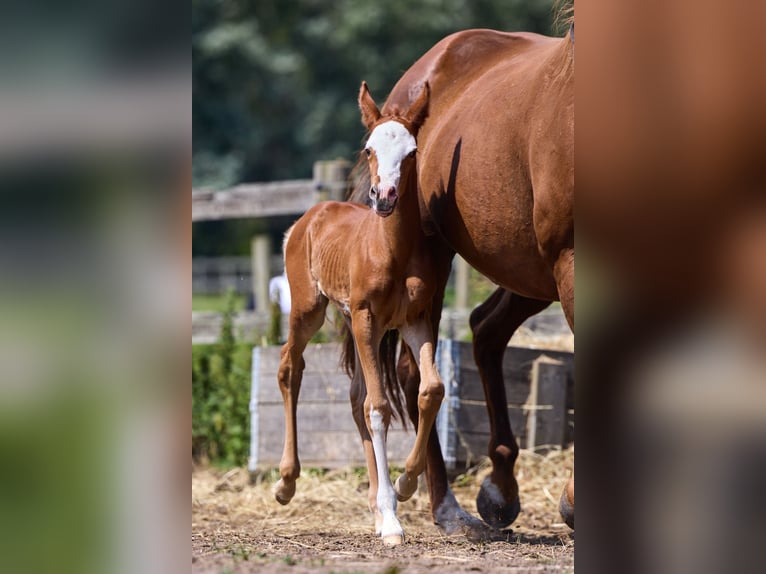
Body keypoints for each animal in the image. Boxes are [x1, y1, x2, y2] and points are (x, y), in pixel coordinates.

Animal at [273, 81, 445, 545]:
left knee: (354, 396)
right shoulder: (368, 316)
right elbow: (379, 407)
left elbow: (430, 390)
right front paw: (392, 520)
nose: (384, 197)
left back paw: (376, 504)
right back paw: (285, 482)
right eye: (369, 149)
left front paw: (404, 484)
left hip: (355, 321)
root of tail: (310, 217)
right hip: (309, 309)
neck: (393, 250)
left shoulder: (414, 319)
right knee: (290, 367)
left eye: (412, 152)